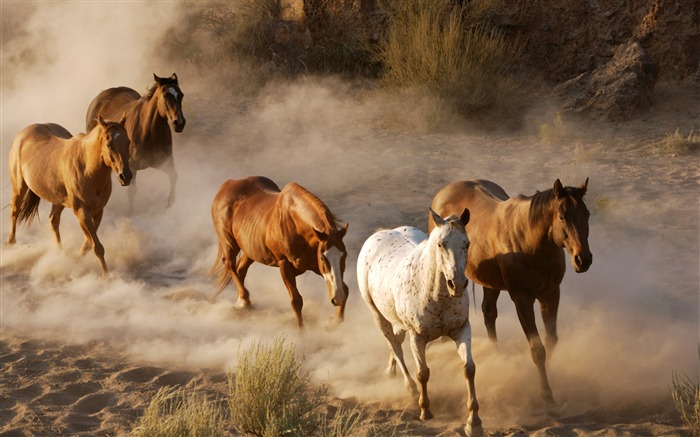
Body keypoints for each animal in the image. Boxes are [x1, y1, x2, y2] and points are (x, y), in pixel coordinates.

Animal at [7, 115, 132, 272]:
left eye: (128, 142)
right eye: (109, 144)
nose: (126, 176)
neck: (87, 167)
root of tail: (23, 133)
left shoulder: (98, 210)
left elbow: (89, 245)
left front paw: (77, 257)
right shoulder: (81, 211)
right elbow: (97, 247)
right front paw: (106, 275)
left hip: (58, 199)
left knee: (53, 220)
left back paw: (59, 254)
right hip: (19, 188)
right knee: (15, 212)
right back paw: (11, 244)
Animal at [85, 72, 186, 211]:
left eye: (181, 95)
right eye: (165, 96)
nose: (179, 123)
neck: (149, 131)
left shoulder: (164, 162)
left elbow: (174, 176)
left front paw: (170, 204)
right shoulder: (131, 167)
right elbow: (131, 191)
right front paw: (130, 212)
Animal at [208, 176, 350, 328]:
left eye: (344, 256)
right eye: (323, 258)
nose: (337, 297)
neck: (295, 224)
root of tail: (227, 184)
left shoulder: (314, 266)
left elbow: (345, 289)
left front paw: (334, 321)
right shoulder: (285, 265)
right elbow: (296, 301)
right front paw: (301, 332)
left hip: (249, 250)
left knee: (240, 269)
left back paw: (243, 302)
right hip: (229, 243)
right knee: (229, 264)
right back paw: (244, 300)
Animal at [432, 178, 592, 406]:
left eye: (587, 215)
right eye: (562, 216)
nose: (583, 259)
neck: (531, 242)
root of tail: (443, 193)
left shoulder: (551, 295)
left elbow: (551, 340)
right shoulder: (522, 299)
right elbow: (537, 349)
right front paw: (546, 393)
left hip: (490, 284)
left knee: (489, 313)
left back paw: (496, 355)